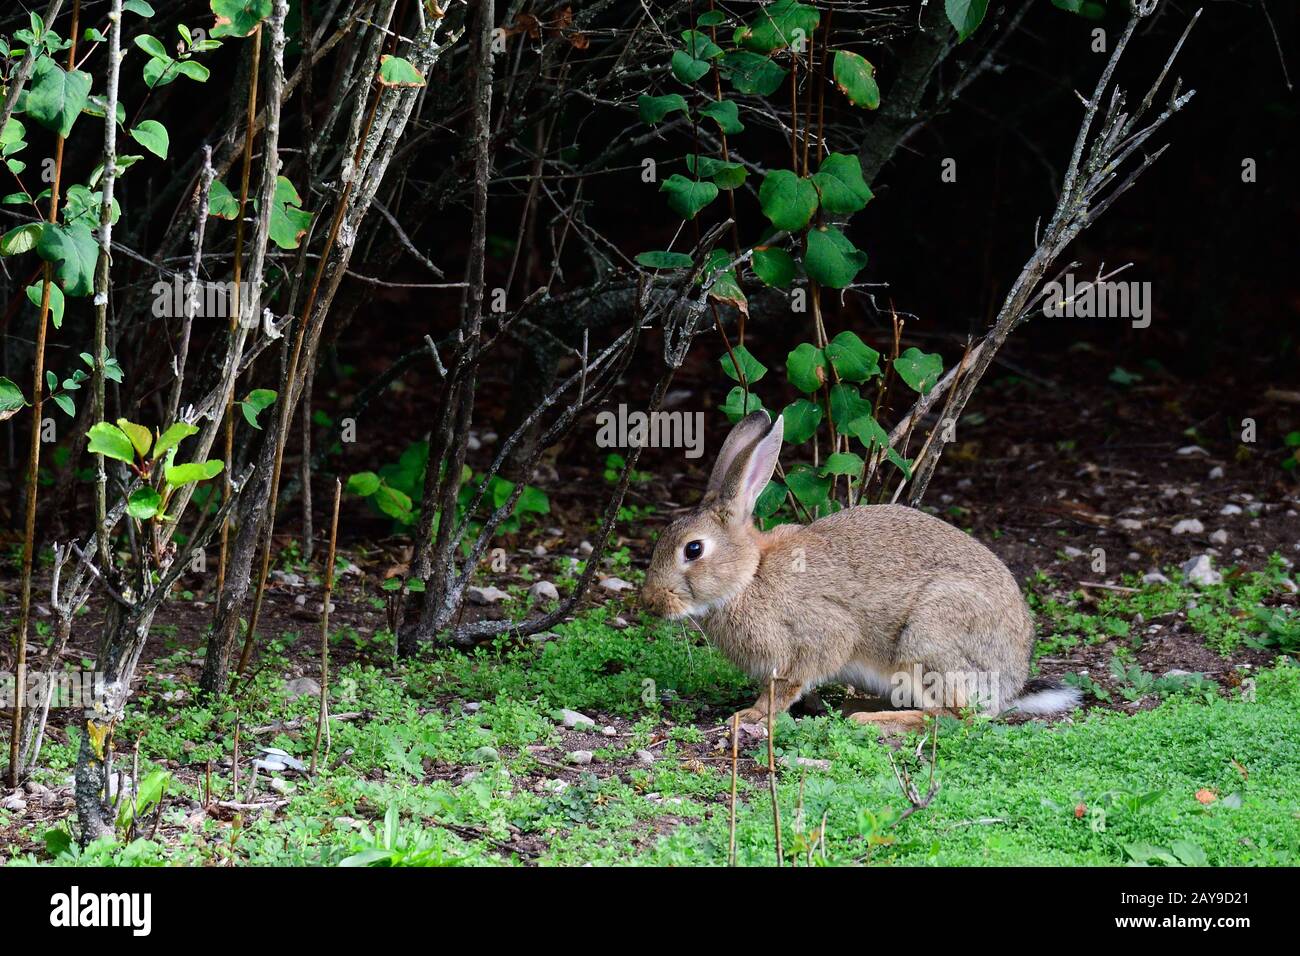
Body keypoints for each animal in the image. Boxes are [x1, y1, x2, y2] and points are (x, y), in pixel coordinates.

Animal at [637, 408, 1076, 728]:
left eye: (693, 549)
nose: (651, 602)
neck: (749, 575)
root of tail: (1011, 683)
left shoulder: (819, 636)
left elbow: (789, 682)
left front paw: (752, 715)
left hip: (929, 638)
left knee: (955, 716)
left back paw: (870, 718)